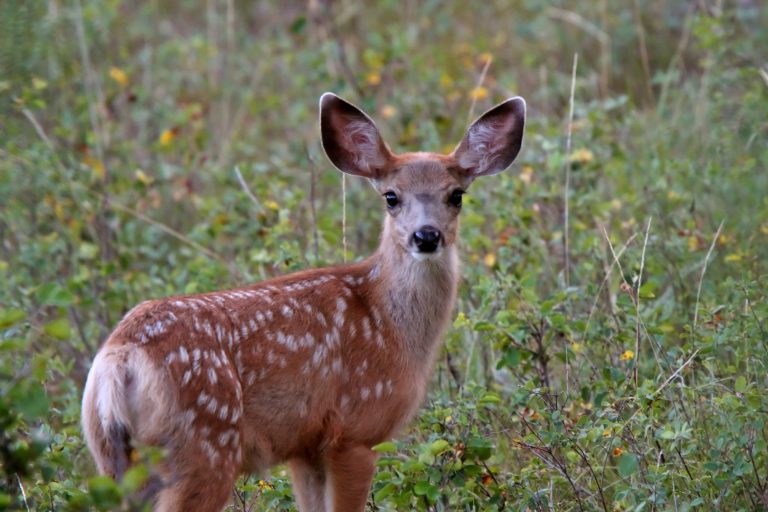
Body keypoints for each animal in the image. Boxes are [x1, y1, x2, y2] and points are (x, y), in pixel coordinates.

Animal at [81, 91, 525, 511]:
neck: (388, 320)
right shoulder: (355, 429)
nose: (427, 236)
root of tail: (120, 359)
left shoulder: (304, 445)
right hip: (203, 447)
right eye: (391, 196)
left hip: (111, 455)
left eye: (456, 195)